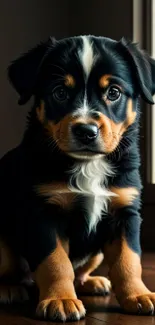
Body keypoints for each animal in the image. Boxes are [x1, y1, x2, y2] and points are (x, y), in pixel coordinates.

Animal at [0, 36, 155, 320]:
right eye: (60, 92)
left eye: (113, 92)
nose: (86, 131)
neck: (87, 165)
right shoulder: (42, 212)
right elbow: (56, 261)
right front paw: (60, 300)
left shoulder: (125, 211)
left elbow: (129, 260)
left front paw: (137, 295)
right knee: (11, 265)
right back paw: (9, 288)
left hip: (96, 254)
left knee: (82, 270)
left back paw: (92, 282)